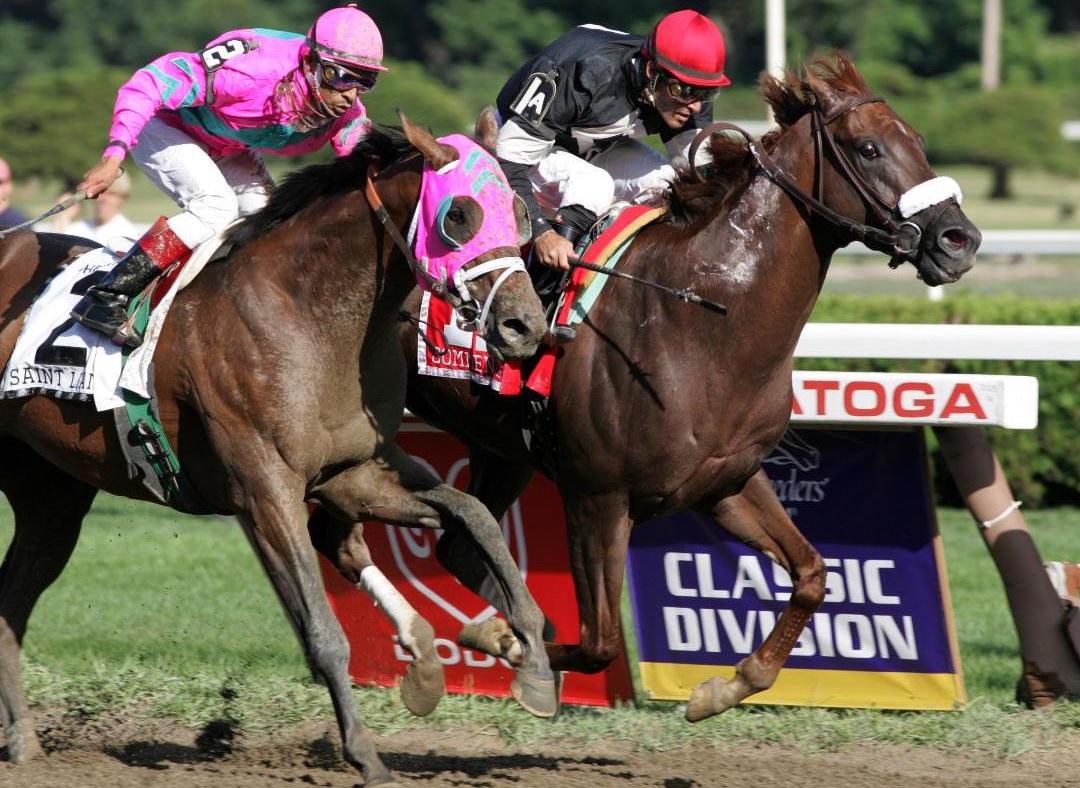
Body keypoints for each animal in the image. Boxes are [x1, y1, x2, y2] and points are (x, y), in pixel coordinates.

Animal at [0, 113, 552, 781]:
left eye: (521, 213)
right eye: (461, 215)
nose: (525, 326)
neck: (310, 313)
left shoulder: (349, 472)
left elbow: (474, 514)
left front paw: (531, 656)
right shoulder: (266, 489)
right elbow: (322, 629)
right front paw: (365, 754)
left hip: (49, 496)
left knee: (10, 601)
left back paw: (23, 739)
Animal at [401, 55, 984, 716]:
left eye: (919, 140)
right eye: (867, 148)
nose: (959, 240)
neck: (700, 319)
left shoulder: (725, 482)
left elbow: (813, 574)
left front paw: (724, 686)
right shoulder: (595, 495)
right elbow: (600, 642)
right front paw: (505, 644)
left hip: (502, 454)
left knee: (456, 544)